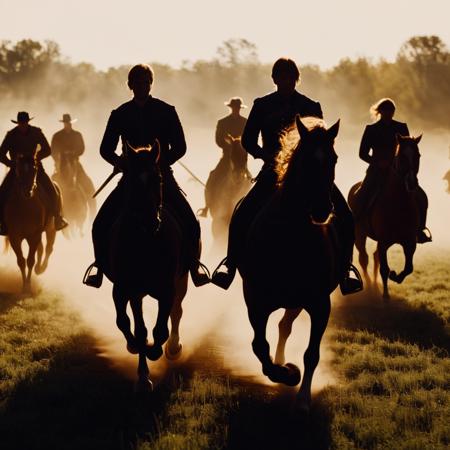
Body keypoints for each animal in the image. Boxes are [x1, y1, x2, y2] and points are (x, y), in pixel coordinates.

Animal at [3, 151, 55, 292]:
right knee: (42, 248)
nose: (28, 192)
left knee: (48, 248)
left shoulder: (34, 235)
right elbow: (21, 260)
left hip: (50, 228)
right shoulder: (15, 236)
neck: (25, 208)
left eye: (35, 169)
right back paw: (38, 269)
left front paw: (28, 286)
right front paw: (25, 285)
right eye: (19, 170)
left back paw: (41, 268)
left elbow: (30, 260)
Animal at [99, 142, 189, 390]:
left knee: (177, 311)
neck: (145, 241)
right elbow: (132, 327)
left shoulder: (167, 289)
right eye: (131, 179)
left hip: (182, 280)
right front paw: (142, 376)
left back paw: (173, 348)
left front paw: (156, 350)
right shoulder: (126, 289)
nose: (150, 221)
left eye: (158, 178)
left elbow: (160, 329)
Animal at [239, 117, 344, 414]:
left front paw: (303, 398)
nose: (322, 209)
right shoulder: (256, 300)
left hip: (298, 302)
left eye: (333, 158)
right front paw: (286, 372)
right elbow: (259, 346)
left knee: (285, 326)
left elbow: (311, 354)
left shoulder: (320, 303)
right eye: (305, 159)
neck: (291, 238)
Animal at [350, 135, 424, 300]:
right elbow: (384, 268)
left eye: (417, 156)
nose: (412, 183)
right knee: (364, 259)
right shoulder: (383, 242)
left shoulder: (410, 242)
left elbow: (409, 268)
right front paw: (385, 295)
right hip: (360, 235)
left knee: (374, 256)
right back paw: (369, 286)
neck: (399, 205)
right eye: (401, 156)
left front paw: (395, 276)